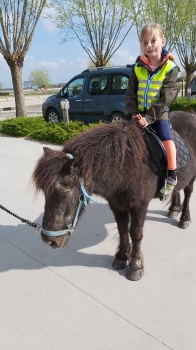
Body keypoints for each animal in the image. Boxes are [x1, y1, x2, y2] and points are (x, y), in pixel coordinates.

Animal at [32, 112, 196, 282]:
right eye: (45, 193)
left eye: (65, 193)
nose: (49, 240)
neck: (126, 167)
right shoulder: (117, 205)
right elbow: (123, 229)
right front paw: (122, 257)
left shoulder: (140, 206)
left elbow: (136, 233)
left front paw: (135, 266)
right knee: (177, 189)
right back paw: (174, 209)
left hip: (192, 177)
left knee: (188, 192)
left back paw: (184, 218)